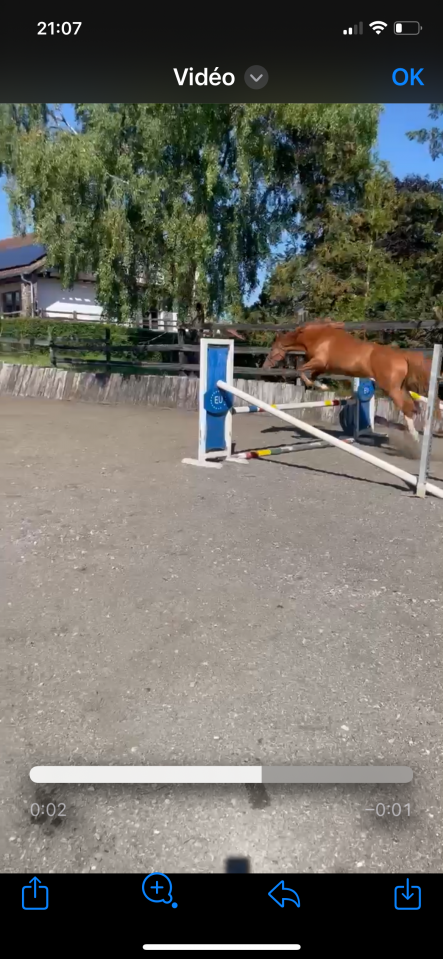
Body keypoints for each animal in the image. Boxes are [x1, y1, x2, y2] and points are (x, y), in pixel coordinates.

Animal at [262, 321, 437, 443]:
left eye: (272, 349)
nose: (265, 366)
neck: (318, 337)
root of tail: (401, 356)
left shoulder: (319, 362)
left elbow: (301, 370)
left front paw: (321, 386)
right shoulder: (322, 366)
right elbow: (311, 376)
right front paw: (322, 386)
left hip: (392, 389)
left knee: (407, 408)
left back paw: (414, 437)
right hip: (401, 388)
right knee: (414, 407)